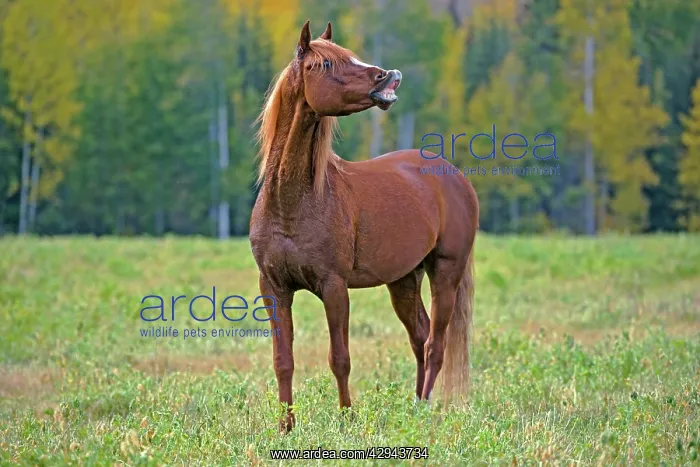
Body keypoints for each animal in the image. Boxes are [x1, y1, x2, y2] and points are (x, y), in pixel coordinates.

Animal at [249, 20, 479, 432]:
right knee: (419, 337)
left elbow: (340, 358)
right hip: (403, 279)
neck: (292, 202)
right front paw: (285, 428)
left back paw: (424, 411)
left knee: (435, 344)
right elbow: (283, 361)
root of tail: (454, 177)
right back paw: (414, 407)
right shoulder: (274, 289)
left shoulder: (334, 287)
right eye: (323, 64)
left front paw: (346, 419)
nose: (387, 76)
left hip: (445, 272)